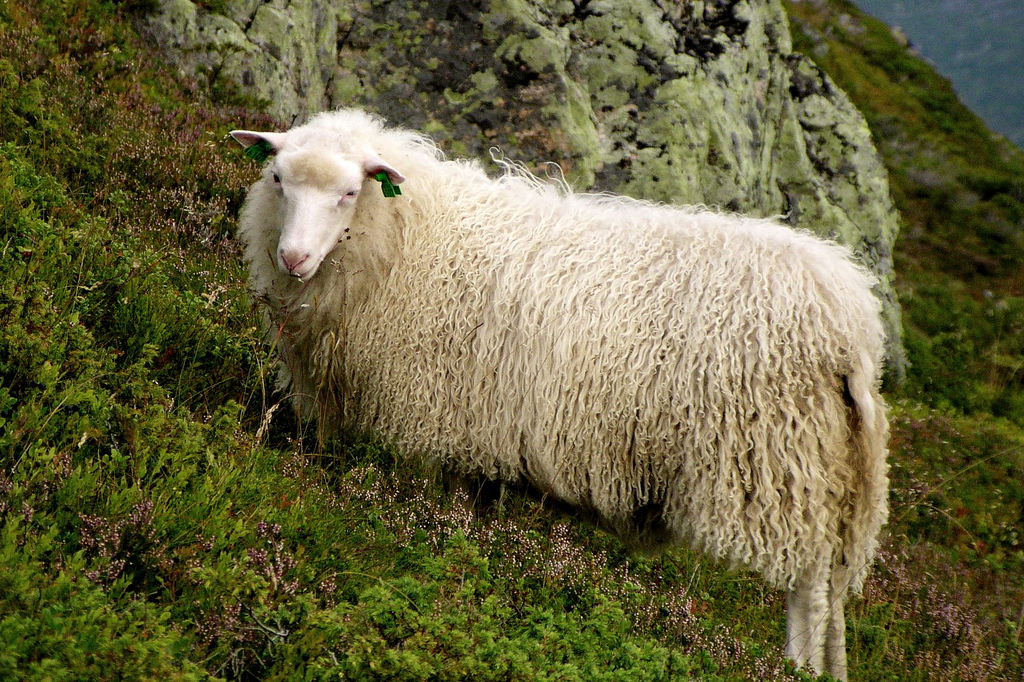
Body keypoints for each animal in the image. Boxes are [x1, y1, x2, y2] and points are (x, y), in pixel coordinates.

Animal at [229, 108, 889, 680]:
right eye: (278, 179)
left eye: (348, 193)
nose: (293, 258)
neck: (411, 234)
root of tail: (851, 322)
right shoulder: (477, 435)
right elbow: (474, 519)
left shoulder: (440, 418)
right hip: (827, 476)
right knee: (832, 596)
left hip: (778, 465)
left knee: (808, 593)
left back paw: (796, 669)